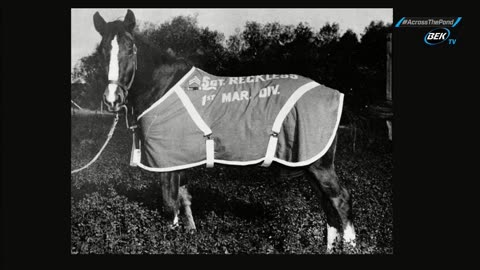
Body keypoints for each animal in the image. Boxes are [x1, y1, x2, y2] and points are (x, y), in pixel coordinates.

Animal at [93, 10, 356, 251]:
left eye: (130, 49)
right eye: (103, 51)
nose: (112, 100)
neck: (163, 87)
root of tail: (333, 93)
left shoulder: (167, 164)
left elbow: (170, 204)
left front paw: (171, 241)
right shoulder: (179, 161)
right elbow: (185, 199)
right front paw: (191, 236)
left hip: (319, 165)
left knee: (340, 200)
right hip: (310, 164)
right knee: (328, 206)